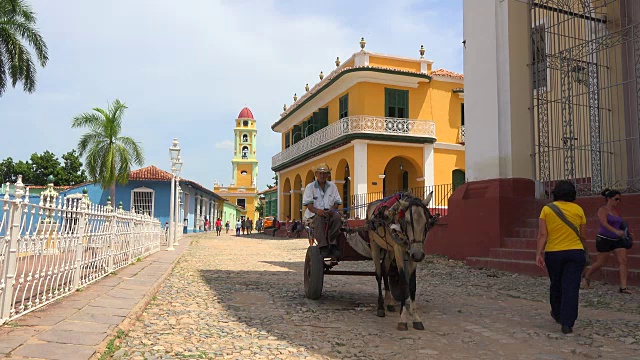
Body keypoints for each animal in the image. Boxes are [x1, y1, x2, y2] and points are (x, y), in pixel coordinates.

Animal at [368, 193, 438, 330]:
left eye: (426, 222)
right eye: (408, 222)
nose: (418, 255)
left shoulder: (412, 253)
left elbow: (412, 284)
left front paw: (416, 318)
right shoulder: (399, 250)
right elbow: (402, 282)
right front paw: (403, 318)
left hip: (389, 249)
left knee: (384, 269)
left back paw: (389, 302)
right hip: (375, 245)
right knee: (378, 273)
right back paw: (380, 307)